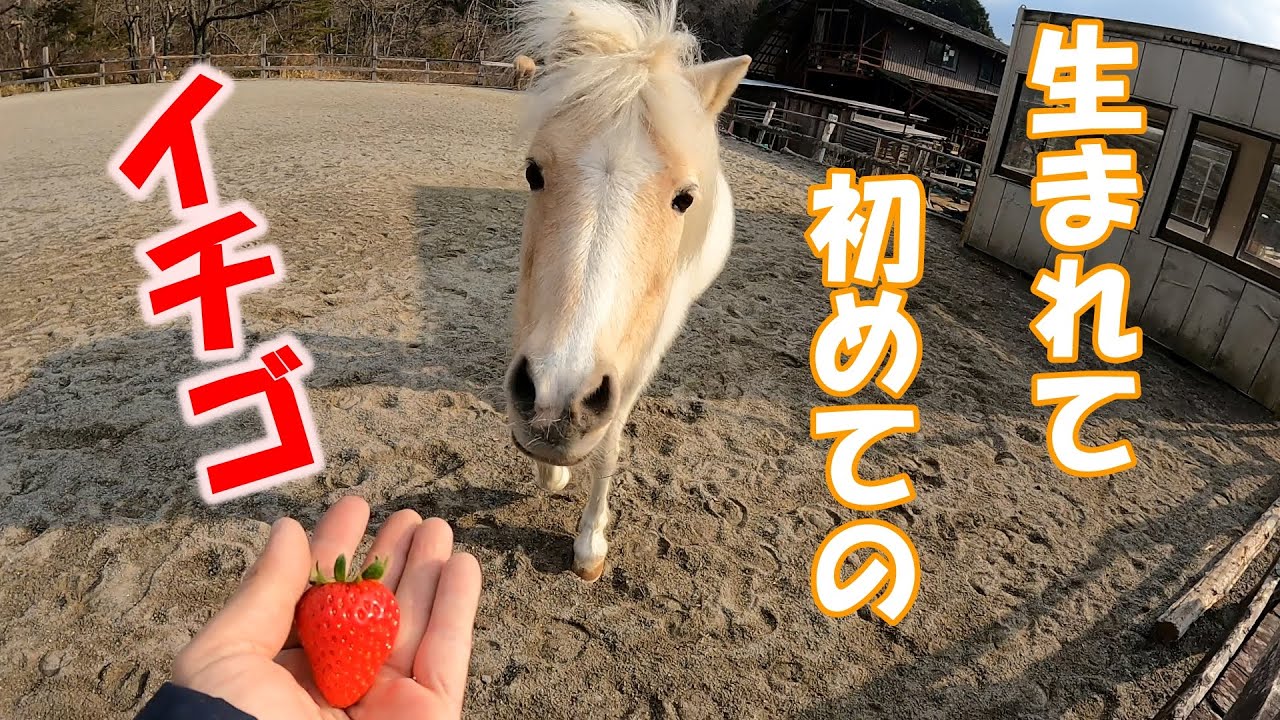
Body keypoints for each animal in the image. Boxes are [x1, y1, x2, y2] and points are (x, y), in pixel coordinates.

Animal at [504, 0, 750, 581]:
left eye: (684, 198)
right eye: (533, 172)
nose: (556, 401)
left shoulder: (641, 354)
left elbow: (610, 445)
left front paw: (590, 543)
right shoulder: (529, 318)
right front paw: (550, 473)